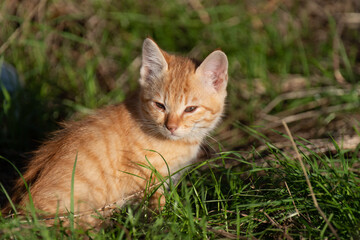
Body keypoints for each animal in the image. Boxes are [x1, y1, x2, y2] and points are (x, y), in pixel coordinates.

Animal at [2, 38, 228, 226]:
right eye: (160, 106)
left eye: (190, 109)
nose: (171, 126)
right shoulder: (148, 178)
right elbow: (157, 207)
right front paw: (164, 224)